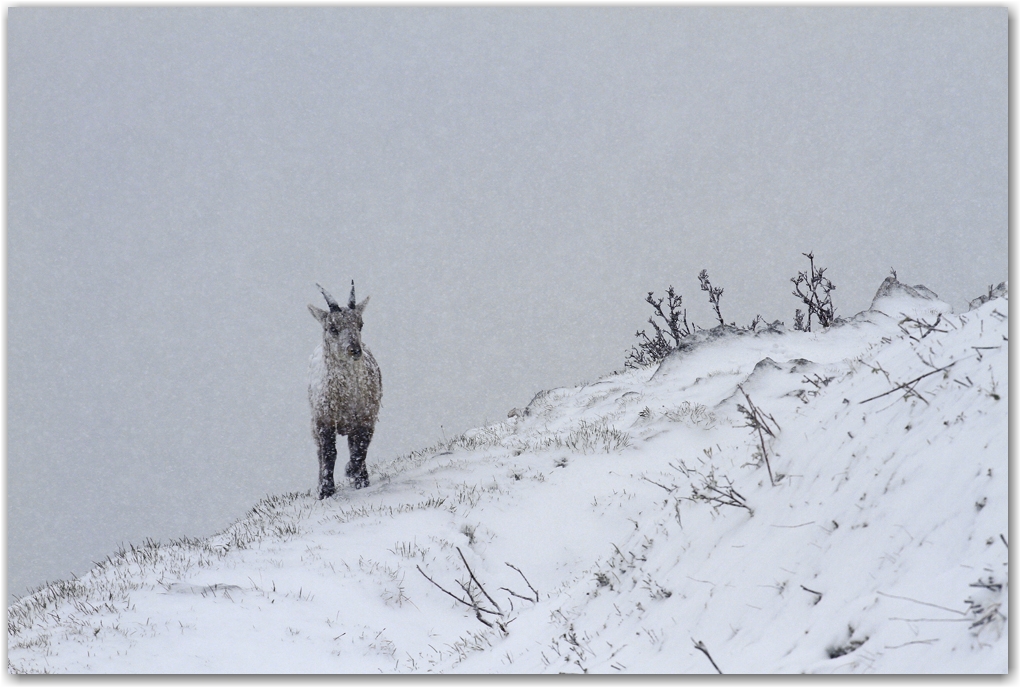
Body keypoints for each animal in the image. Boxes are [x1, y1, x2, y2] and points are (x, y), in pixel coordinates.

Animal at [306, 279, 383, 497]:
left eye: (360, 324)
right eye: (332, 328)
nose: (354, 350)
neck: (347, 400)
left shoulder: (367, 418)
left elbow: (360, 450)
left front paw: (354, 474)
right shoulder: (324, 420)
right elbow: (329, 453)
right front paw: (326, 490)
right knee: (320, 452)